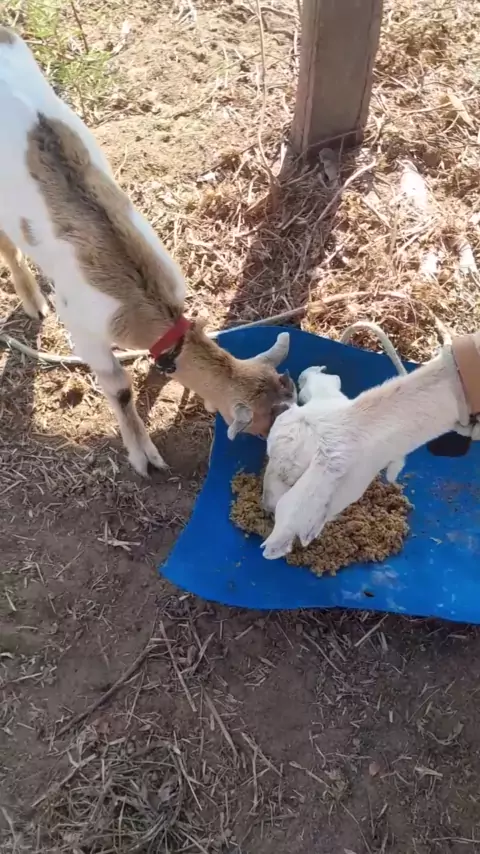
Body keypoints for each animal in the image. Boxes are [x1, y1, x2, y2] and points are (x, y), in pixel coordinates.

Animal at [0, 26, 296, 475]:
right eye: (264, 426)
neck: (145, 299)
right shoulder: (83, 327)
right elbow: (119, 388)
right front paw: (145, 457)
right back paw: (34, 302)